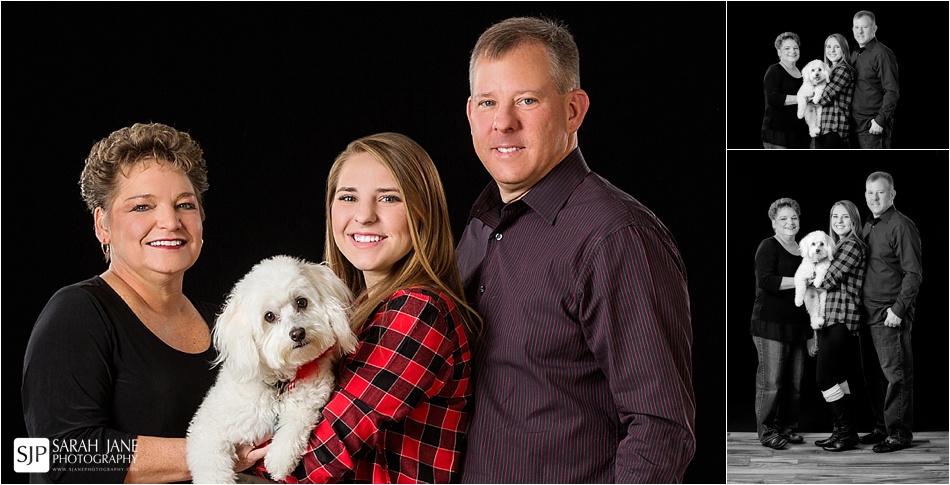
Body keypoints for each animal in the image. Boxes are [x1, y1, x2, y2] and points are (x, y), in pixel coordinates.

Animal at [188, 255, 358, 482]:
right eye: (269, 316)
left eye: (301, 302)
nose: (298, 333)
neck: (279, 383)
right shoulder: (206, 430)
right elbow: (212, 467)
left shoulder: (310, 398)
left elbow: (297, 419)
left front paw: (280, 458)